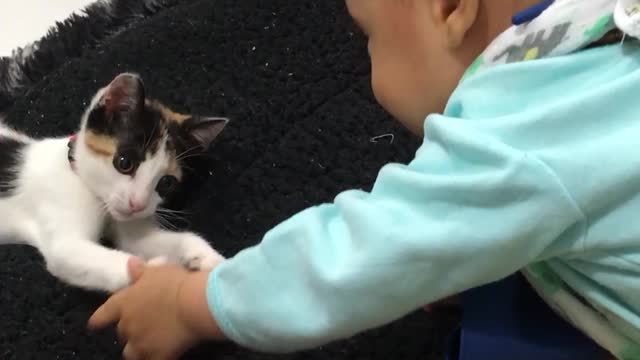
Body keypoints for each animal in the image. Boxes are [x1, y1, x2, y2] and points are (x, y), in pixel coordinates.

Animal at [0, 72, 228, 292]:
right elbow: (81, 255)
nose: (137, 204)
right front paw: (153, 273)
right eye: (124, 163)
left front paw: (207, 257)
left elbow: (144, 240)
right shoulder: (63, 240)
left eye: (166, 183)